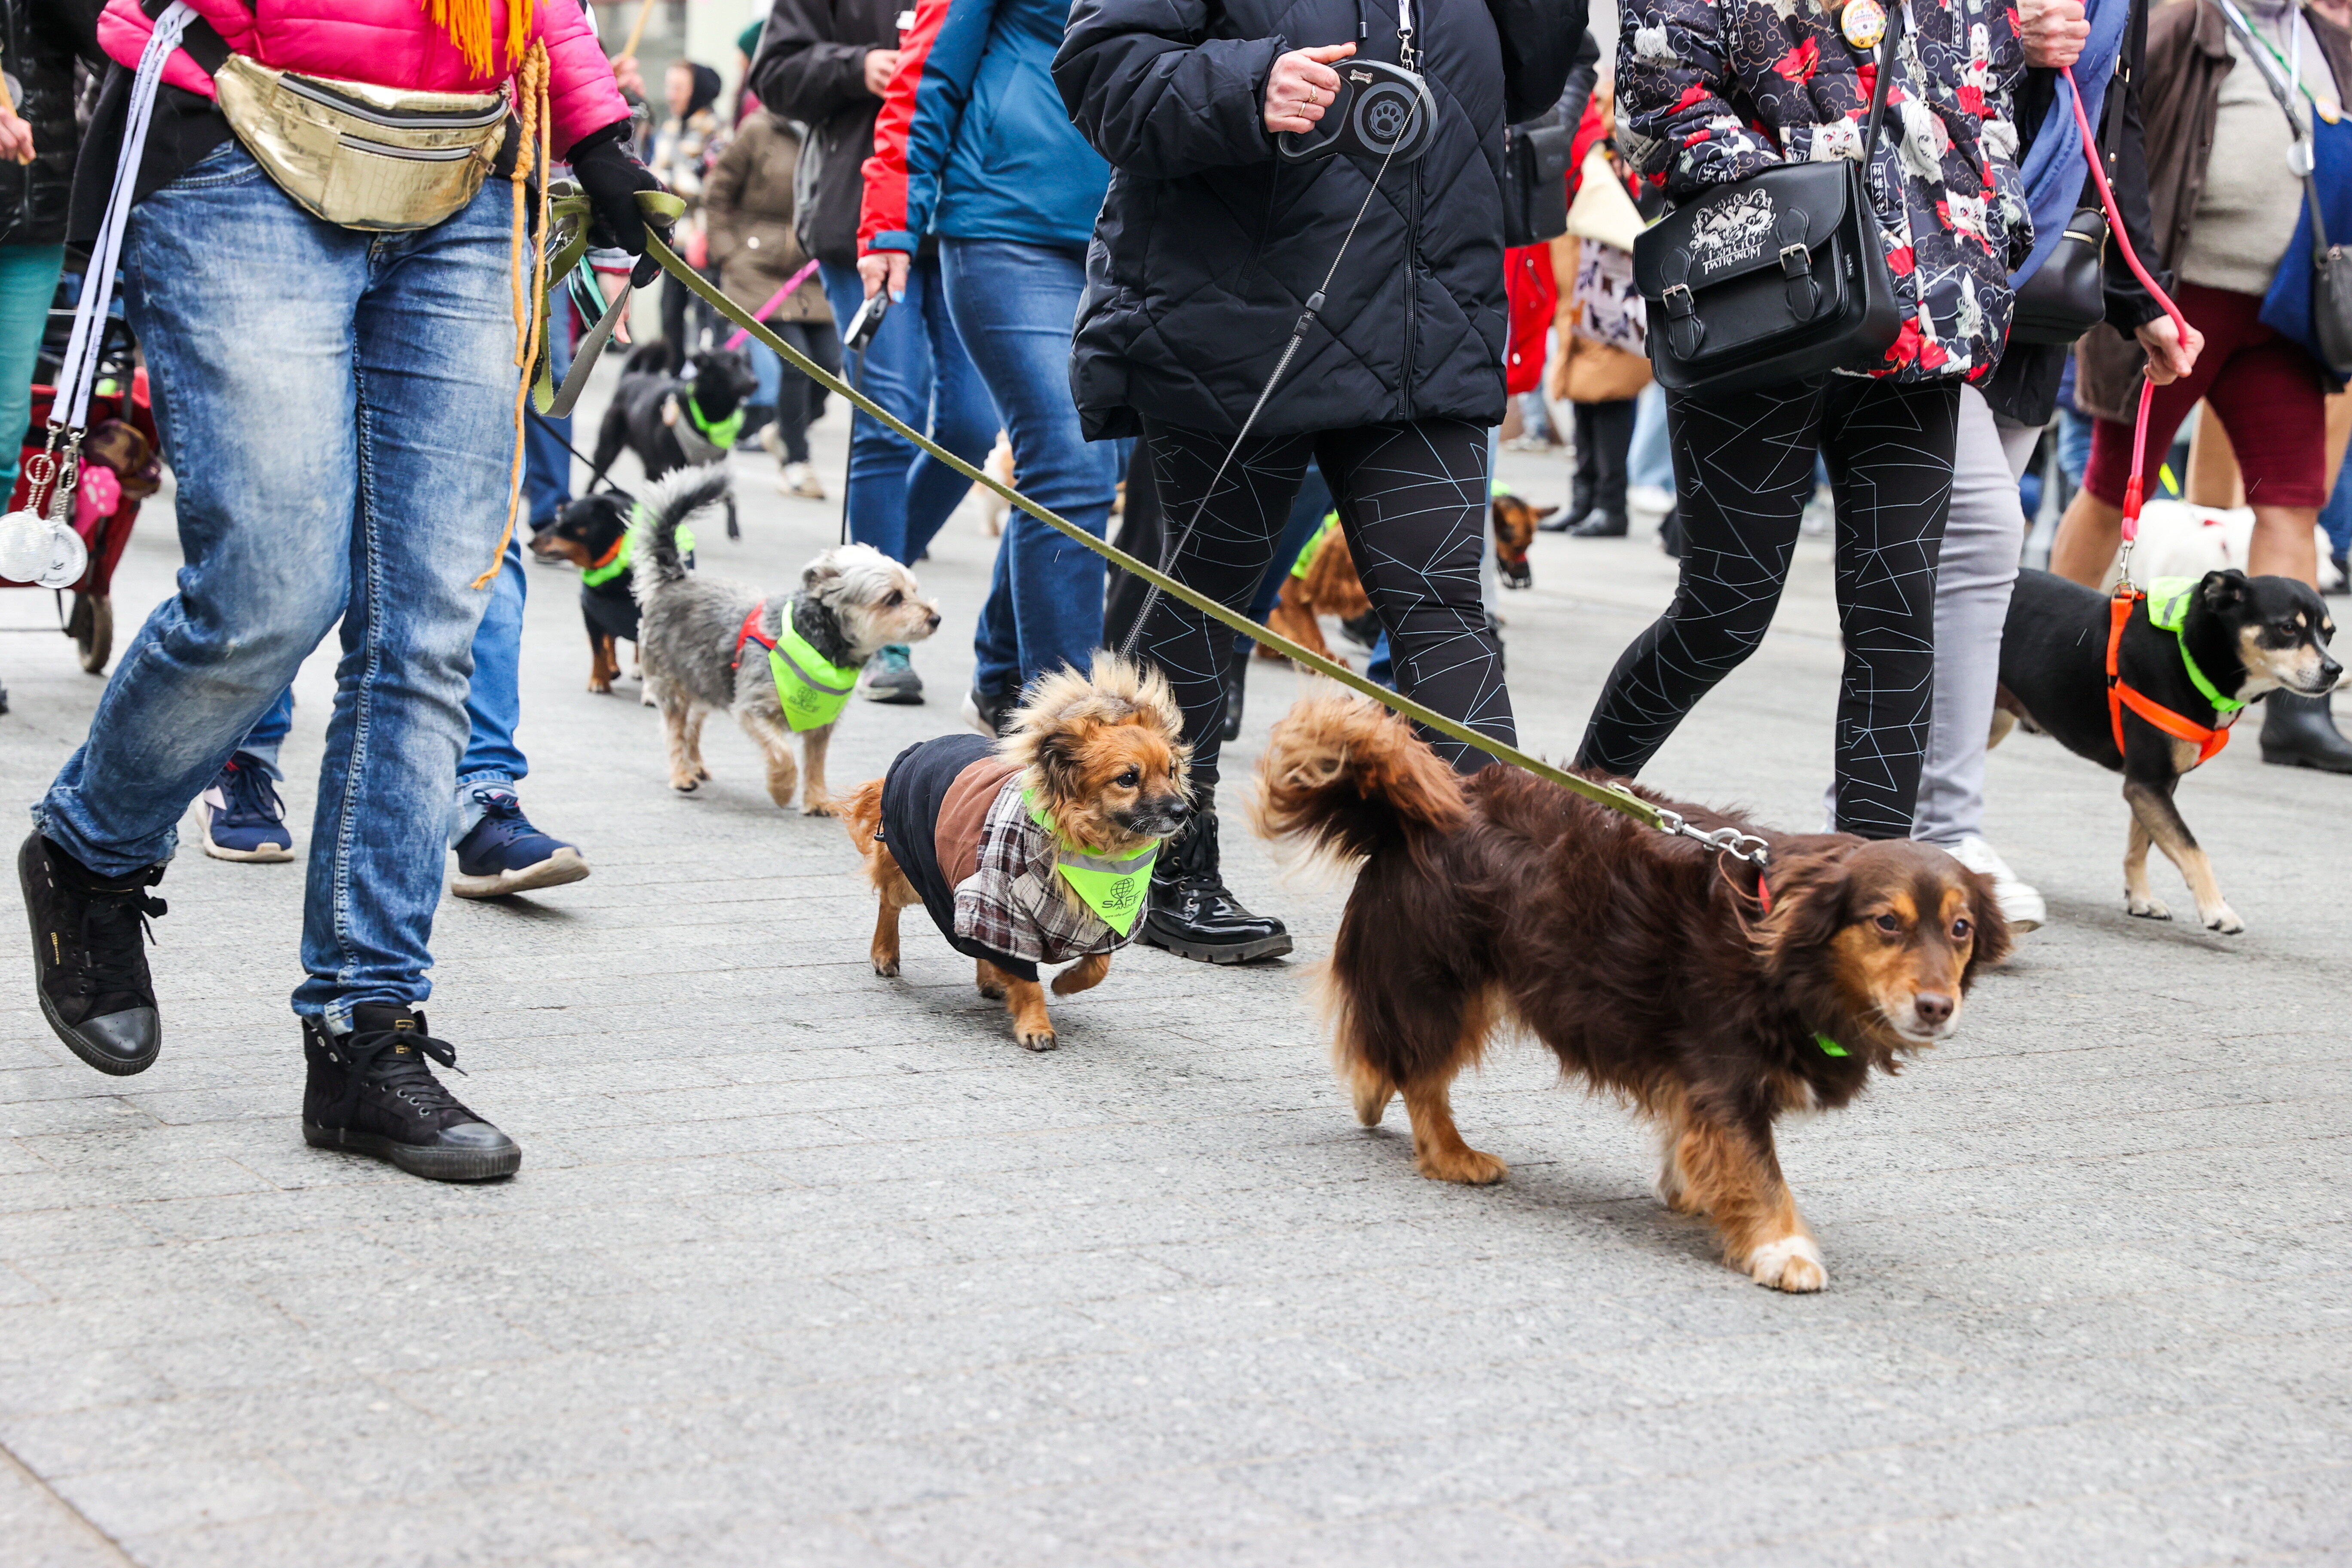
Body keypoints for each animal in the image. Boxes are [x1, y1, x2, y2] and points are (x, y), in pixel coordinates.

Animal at [592, 338, 757, 540]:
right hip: (608, 451)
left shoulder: (713, 467)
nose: (755, 382)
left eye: (749, 365)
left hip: (651, 468)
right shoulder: (670, 466)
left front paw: (733, 527)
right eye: (730, 366)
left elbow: (729, 495)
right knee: (593, 480)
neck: (709, 415)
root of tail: (632, 377)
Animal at [842, 658, 1194, 1048]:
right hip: (918, 873)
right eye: (1128, 779)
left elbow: (1097, 967)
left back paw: (991, 978)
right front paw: (1036, 1025)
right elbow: (1027, 980)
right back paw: (885, 952)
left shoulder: (1104, 924)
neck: (1090, 851)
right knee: (889, 901)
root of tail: (921, 746)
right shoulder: (1002, 908)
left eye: (1171, 772)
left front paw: (1066, 984)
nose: (1181, 811)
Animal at [1260, 700, 2013, 1298]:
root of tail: (1419, 811)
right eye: (1886, 922)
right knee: (1418, 1069)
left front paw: (1699, 1191)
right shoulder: (1727, 1073)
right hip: (1444, 979)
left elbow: (1701, 1142)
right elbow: (1759, 1169)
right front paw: (1782, 1247)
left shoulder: (1699, 1077)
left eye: (1961, 929)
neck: (1778, 943)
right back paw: (1447, 1150)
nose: (1937, 1007)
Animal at [1994, 571, 2343, 940]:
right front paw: (2217, 909)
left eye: (2329, 634)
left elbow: (2140, 845)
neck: (2192, 653)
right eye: (2288, 628)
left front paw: (2140, 899)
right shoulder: (2147, 785)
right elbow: (2193, 850)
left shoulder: (2157, 786)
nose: (2335, 670)